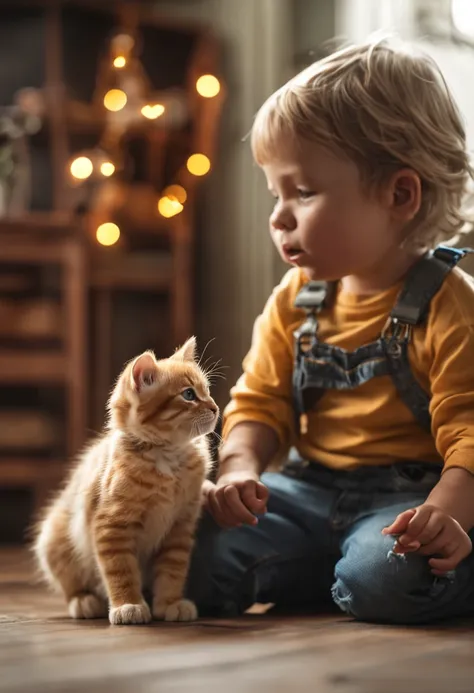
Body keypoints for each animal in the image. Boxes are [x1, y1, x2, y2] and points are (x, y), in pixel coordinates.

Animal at [33, 338, 218, 624]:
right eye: (189, 395)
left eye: (207, 390)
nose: (215, 407)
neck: (169, 458)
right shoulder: (112, 526)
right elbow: (120, 571)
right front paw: (128, 605)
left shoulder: (180, 528)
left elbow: (172, 571)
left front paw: (170, 603)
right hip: (53, 539)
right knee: (72, 585)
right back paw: (84, 601)